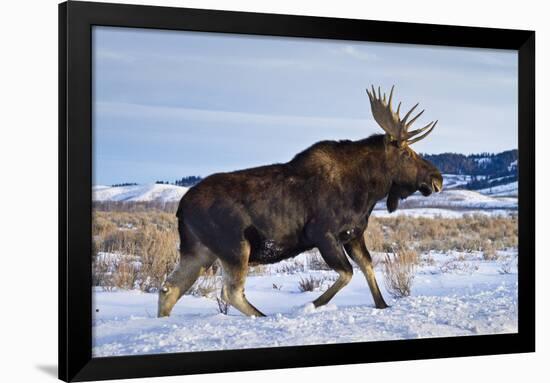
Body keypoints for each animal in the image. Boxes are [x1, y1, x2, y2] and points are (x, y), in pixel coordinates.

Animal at [158, 86, 444, 318]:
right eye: (406, 153)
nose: (437, 178)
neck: (368, 192)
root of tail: (181, 207)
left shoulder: (353, 234)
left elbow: (367, 268)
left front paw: (382, 304)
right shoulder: (322, 233)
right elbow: (347, 273)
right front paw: (311, 305)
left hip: (199, 250)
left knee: (170, 288)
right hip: (234, 246)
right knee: (230, 291)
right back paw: (262, 316)